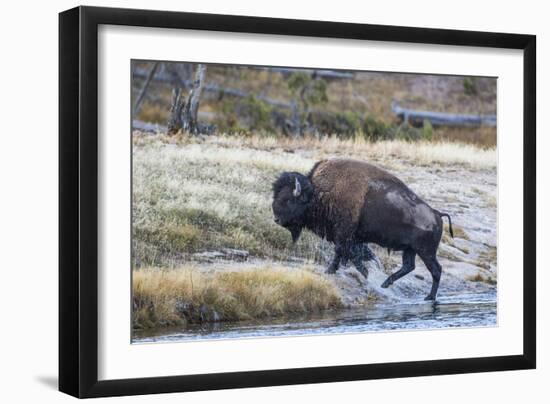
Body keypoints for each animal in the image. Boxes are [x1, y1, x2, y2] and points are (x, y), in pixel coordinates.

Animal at [272, 158, 458, 300]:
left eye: (288, 199)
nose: (276, 219)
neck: (319, 193)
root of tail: (437, 214)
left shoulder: (344, 234)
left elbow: (343, 251)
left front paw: (337, 270)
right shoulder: (349, 237)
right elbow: (351, 253)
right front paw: (359, 269)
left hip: (426, 252)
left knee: (435, 270)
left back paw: (429, 297)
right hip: (410, 249)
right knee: (409, 266)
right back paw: (385, 284)